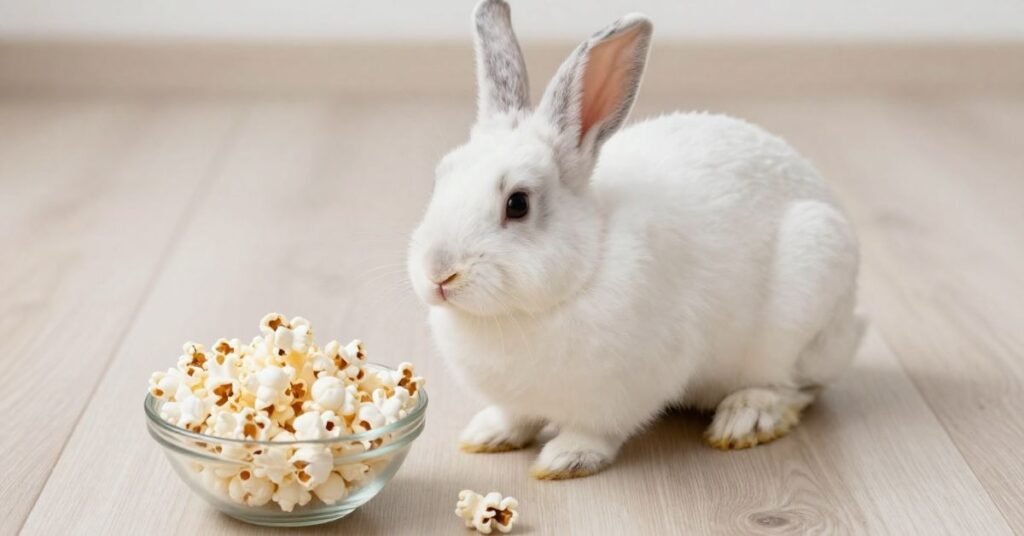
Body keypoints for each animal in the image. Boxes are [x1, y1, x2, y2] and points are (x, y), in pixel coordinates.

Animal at [407, 0, 865, 480]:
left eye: (517, 204)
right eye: (440, 178)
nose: (439, 273)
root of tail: (852, 326)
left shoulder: (623, 391)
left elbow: (595, 430)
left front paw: (565, 460)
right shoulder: (517, 398)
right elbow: (515, 415)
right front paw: (487, 436)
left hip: (805, 300)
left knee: (796, 387)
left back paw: (745, 419)